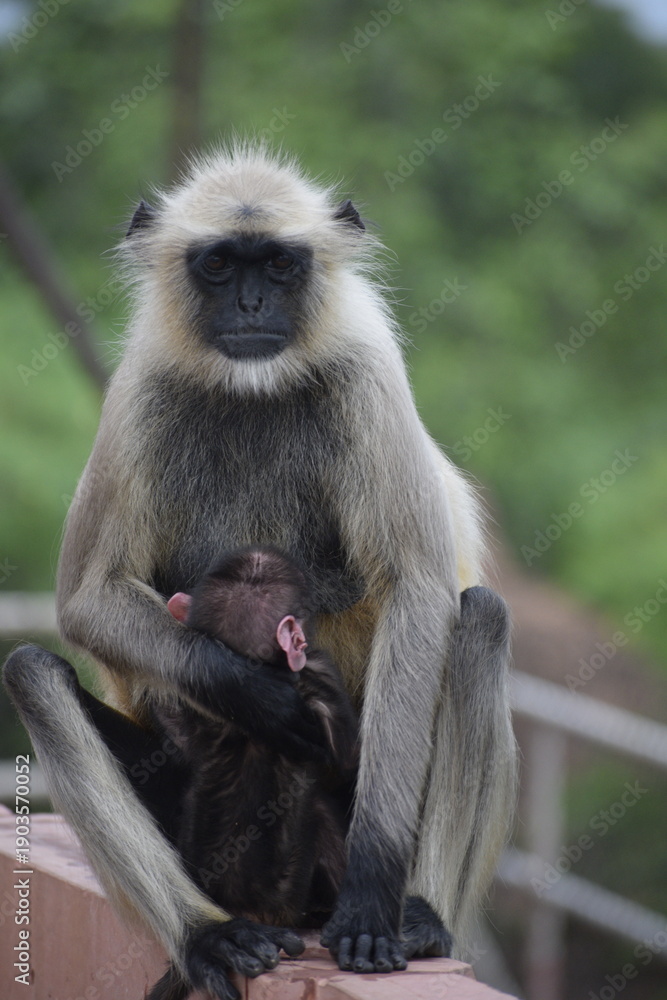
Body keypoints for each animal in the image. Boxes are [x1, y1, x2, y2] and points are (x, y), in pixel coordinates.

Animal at [3, 143, 515, 999]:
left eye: (277, 264)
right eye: (218, 266)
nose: (248, 304)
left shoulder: (366, 377)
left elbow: (416, 589)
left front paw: (373, 894)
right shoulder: (140, 389)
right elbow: (85, 600)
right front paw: (258, 696)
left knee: (476, 616)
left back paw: (418, 915)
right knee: (31, 672)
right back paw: (209, 934)